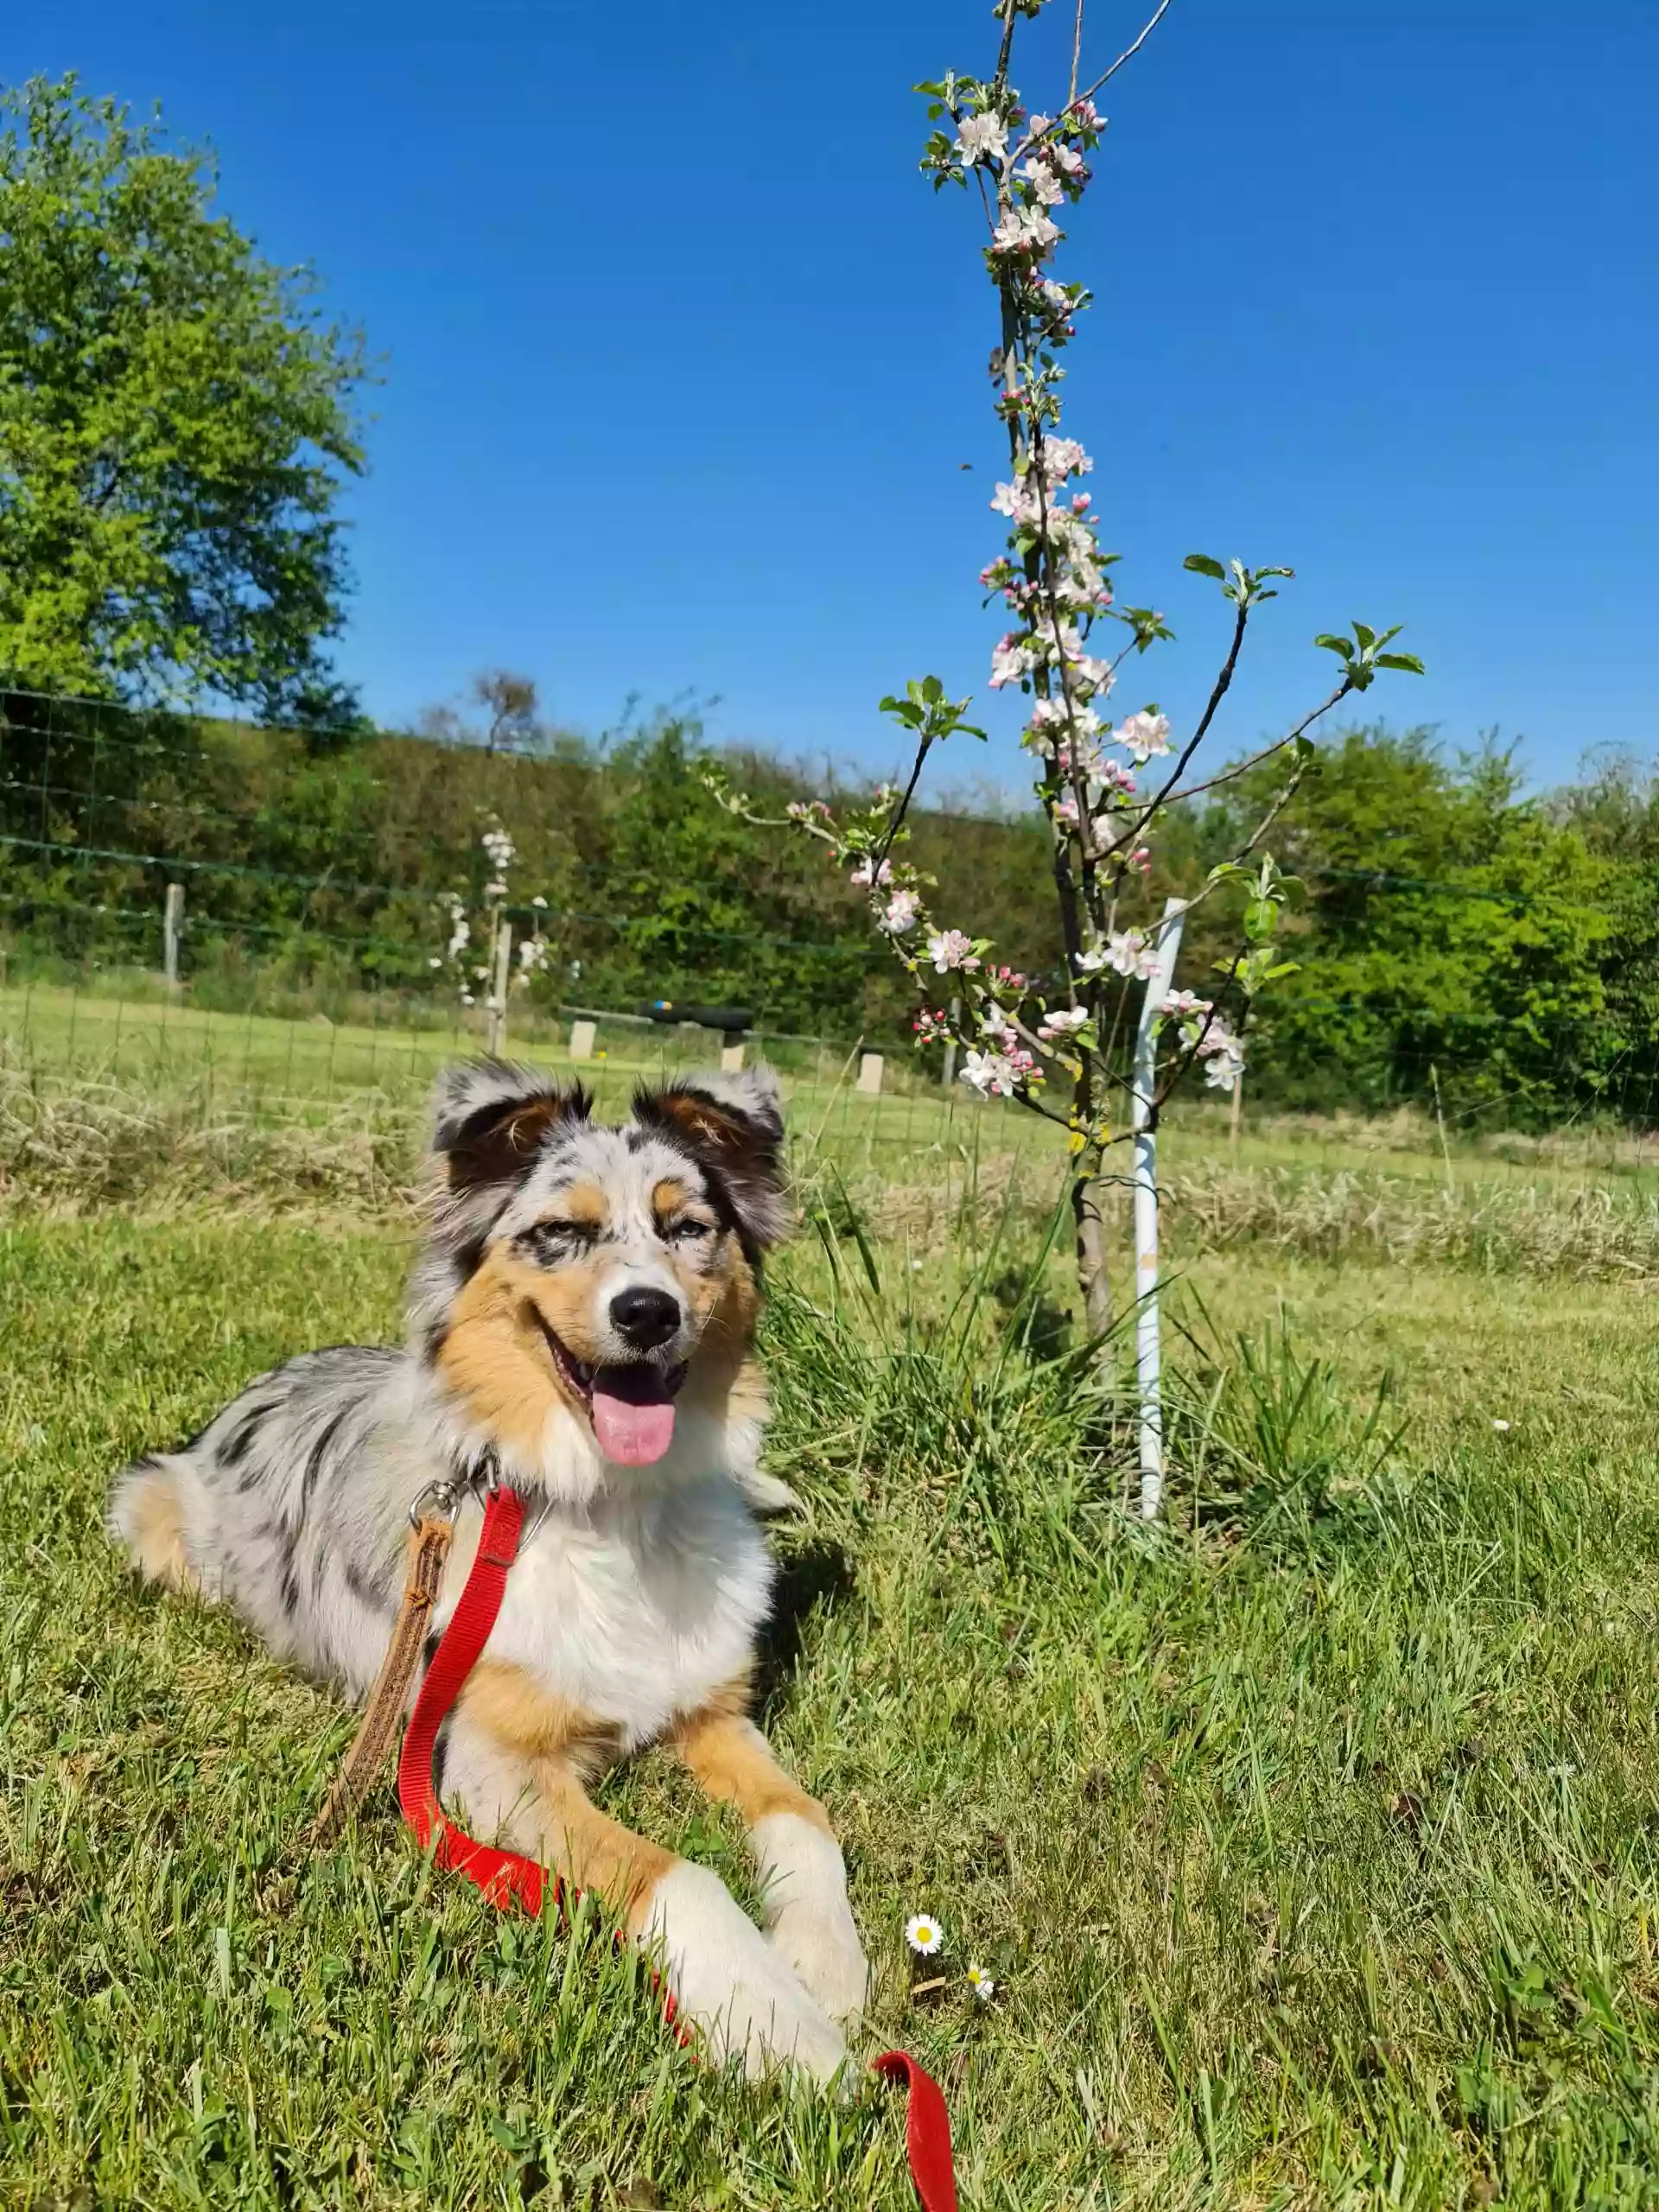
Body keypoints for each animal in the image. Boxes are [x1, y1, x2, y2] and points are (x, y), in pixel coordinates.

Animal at [107, 1052, 871, 2070]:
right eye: (560, 1232)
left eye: (687, 1228)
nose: (647, 1311)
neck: (611, 1511)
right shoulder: (488, 1767)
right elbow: (680, 1873)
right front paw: (777, 2024)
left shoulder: (713, 1712)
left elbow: (809, 1818)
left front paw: (824, 1960)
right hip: (149, 1512)